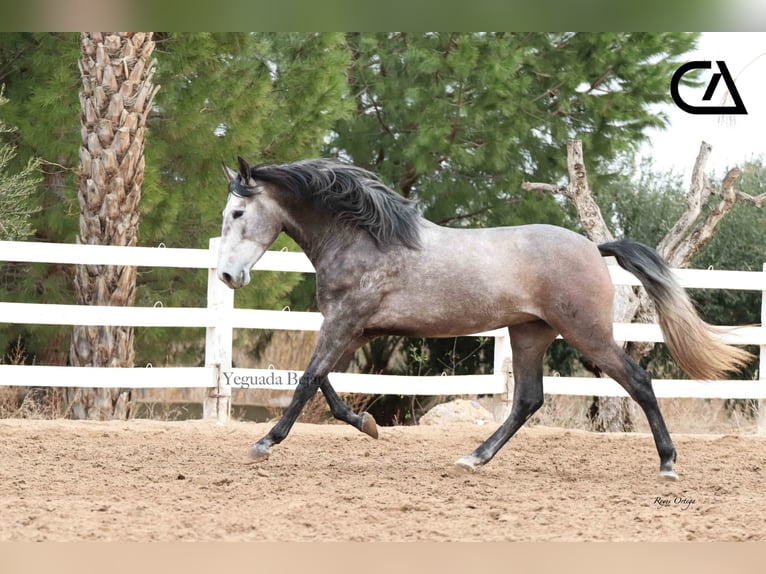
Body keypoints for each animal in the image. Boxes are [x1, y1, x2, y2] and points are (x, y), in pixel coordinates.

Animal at [216, 156, 752, 482]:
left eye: (238, 213)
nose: (226, 275)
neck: (367, 241)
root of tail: (593, 247)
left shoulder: (345, 324)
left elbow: (307, 380)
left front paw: (263, 443)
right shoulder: (354, 329)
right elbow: (324, 382)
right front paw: (366, 423)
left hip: (587, 333)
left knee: (638, 381)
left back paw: (667, 464)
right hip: (530, 334)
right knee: (527, 400)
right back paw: (473, 457)